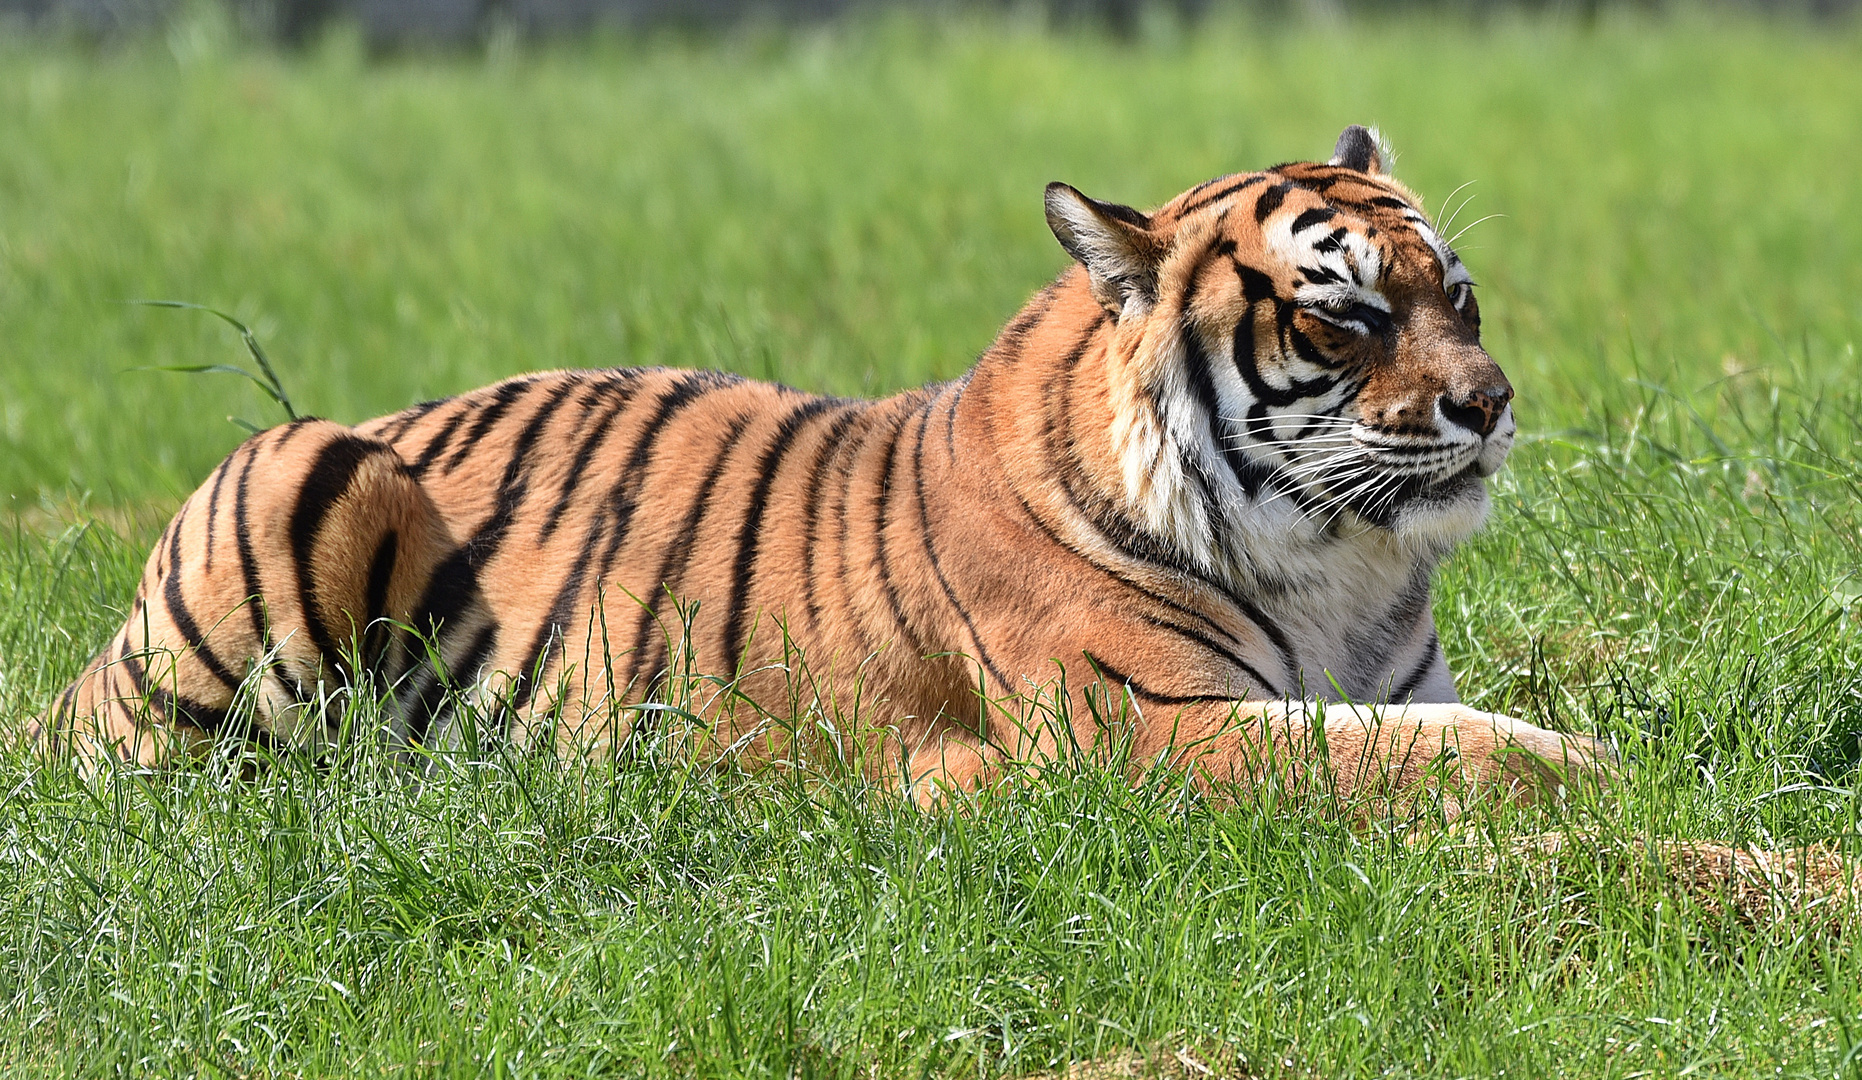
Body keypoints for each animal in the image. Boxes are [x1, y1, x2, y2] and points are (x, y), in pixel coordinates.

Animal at [29, 124, 1608, 800]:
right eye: (1342, 315)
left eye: (1458, 297)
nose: (1489, 403)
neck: (1332, 563)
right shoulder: (1148, 724)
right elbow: (1439, 750)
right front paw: (1598, 770)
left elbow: (1432, 725)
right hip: (301, 467)